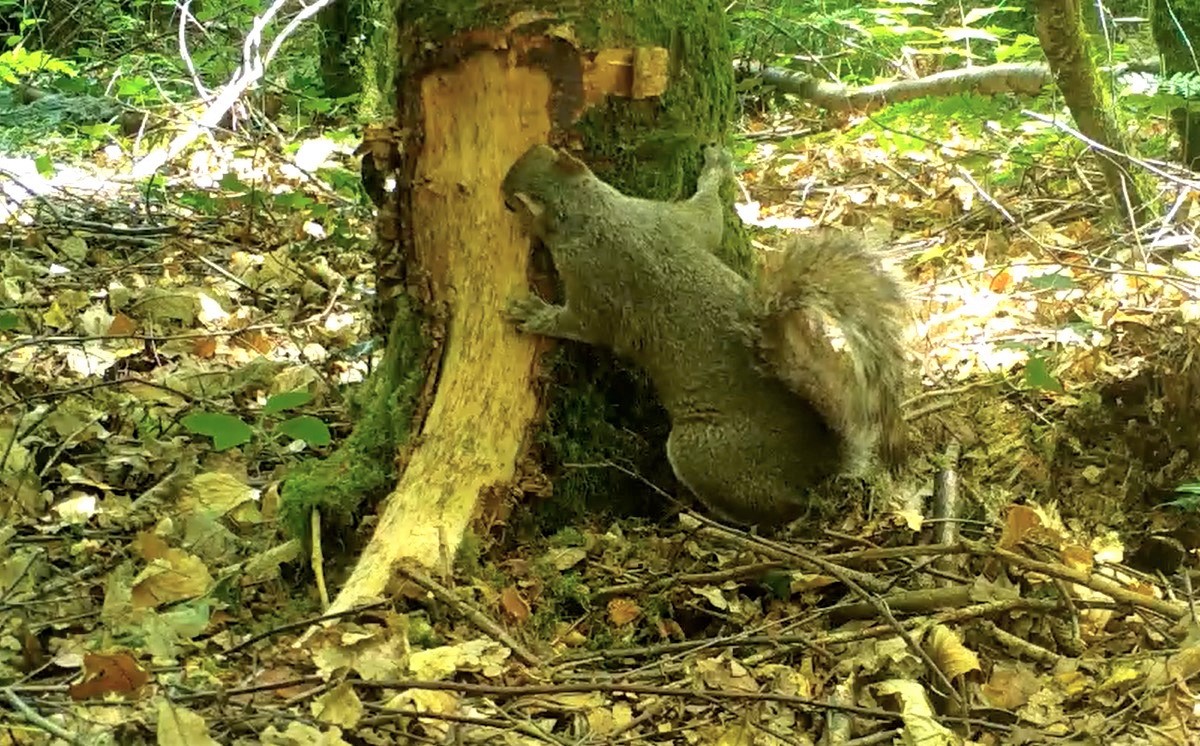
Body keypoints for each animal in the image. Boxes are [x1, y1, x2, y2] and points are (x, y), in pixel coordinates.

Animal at [501, 143, 908, 527]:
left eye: (510, 202)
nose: (502, 191)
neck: (593, 211)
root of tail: (819, 462)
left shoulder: (595, 281)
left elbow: (585, 325)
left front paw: (536, 315)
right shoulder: (667, 218)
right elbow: (708, 216)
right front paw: (715, 169)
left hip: (703, 455)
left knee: (784, 507)